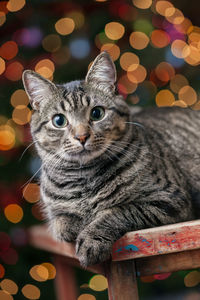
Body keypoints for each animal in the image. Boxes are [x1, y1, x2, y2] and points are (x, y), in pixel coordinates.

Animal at [22, 51, 200, 268]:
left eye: (97, 113)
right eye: (59, 120)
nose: (82, 136)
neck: (85, 178)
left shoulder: (169, 198)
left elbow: (116, 211)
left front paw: (91, 238)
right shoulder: (55, 212)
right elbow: (62, 222)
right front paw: (76, 223)